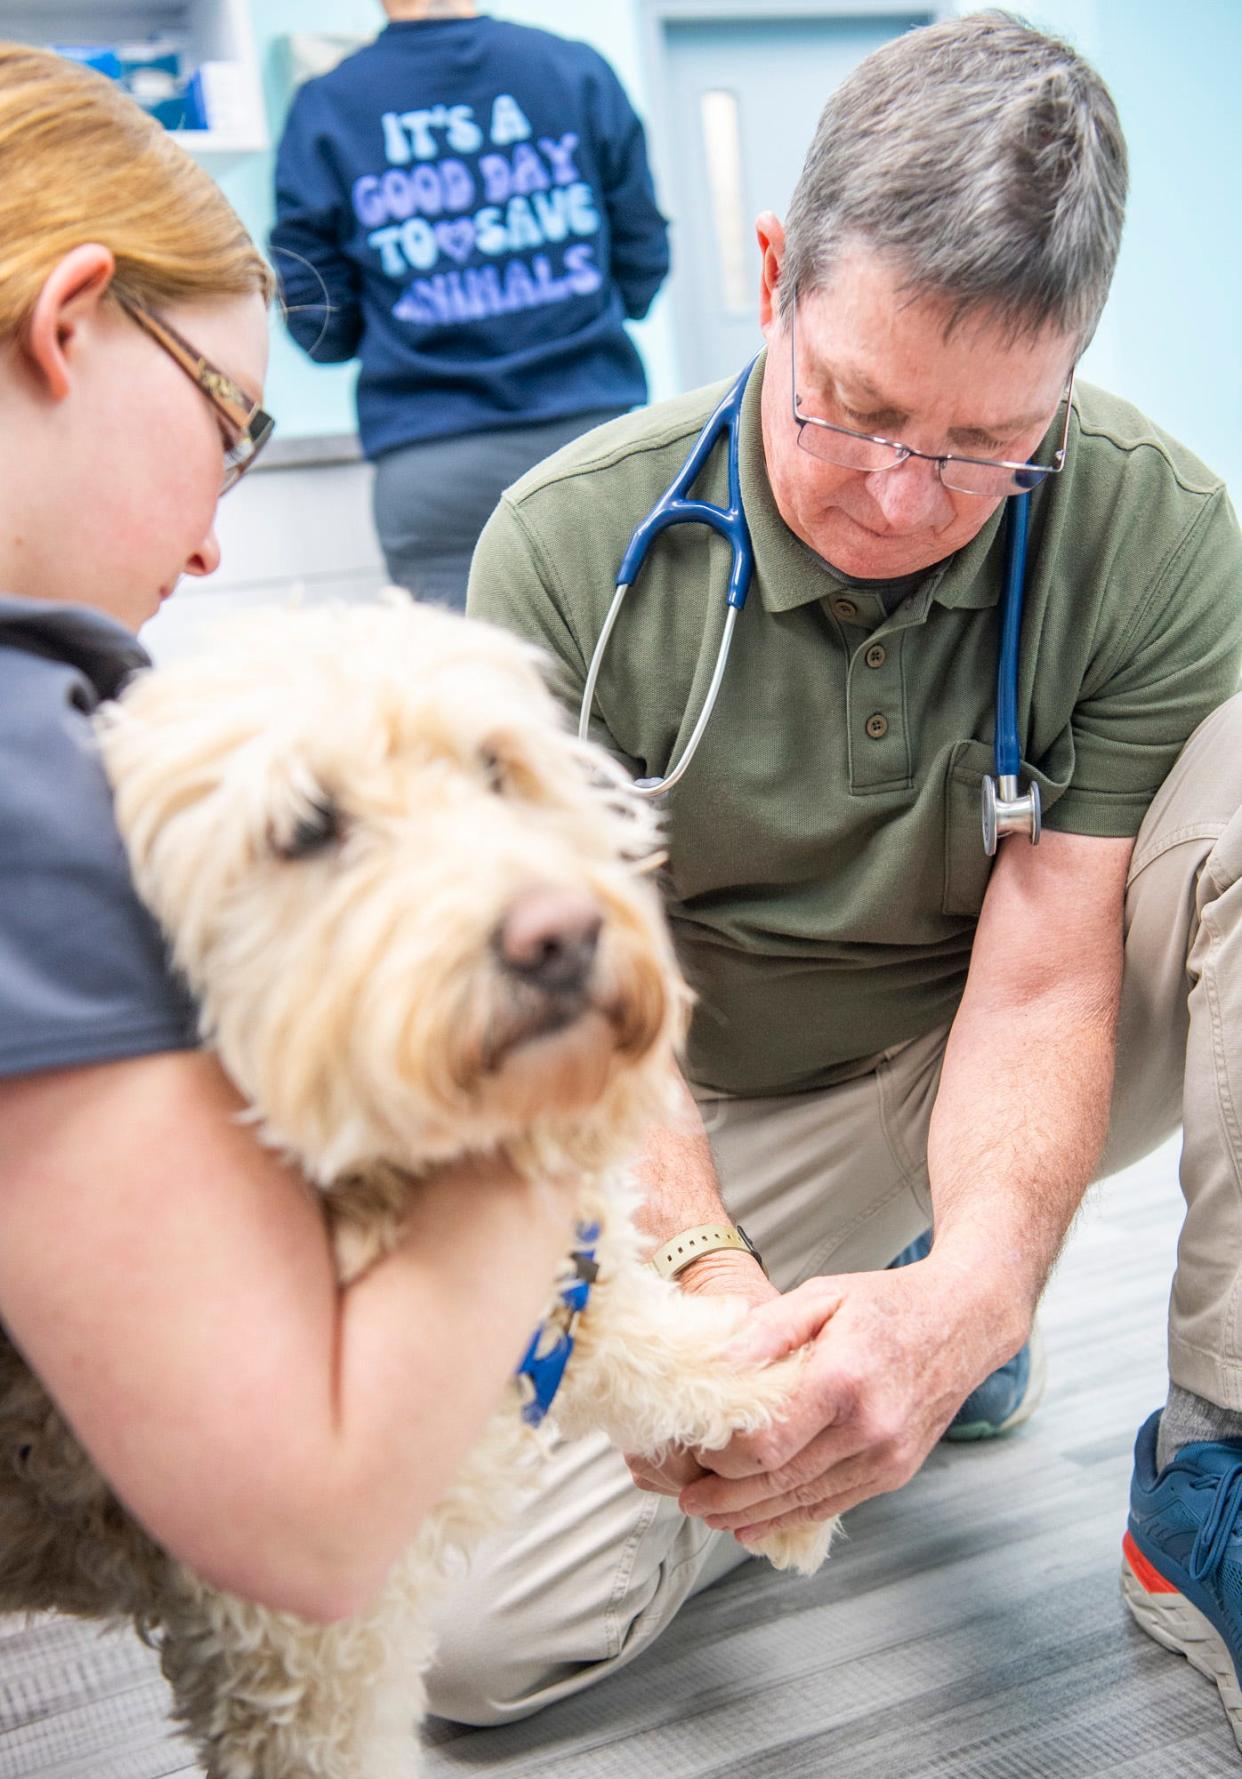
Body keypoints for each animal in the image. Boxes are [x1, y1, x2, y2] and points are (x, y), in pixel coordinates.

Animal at [0, 597, 836, 1779]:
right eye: (305, 825)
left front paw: (798, 1457)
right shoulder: (302, 1646)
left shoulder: (546, 1315)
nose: (558, 933)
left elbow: (684, 1352)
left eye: (496, 767)